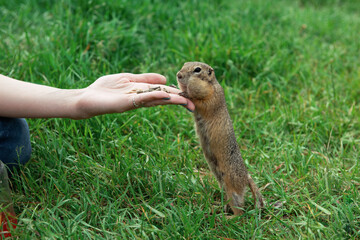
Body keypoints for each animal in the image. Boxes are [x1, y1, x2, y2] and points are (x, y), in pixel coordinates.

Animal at [176, 61, 264, 215]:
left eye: (197, 70)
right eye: (185, 64)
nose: (178, 75)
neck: (211, 85)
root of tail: (246, 177)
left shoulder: (212, 97)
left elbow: (201, 102)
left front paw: (186, 93)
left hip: (231, 186)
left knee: (240, 211)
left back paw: (228, 217)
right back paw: (218, 208)